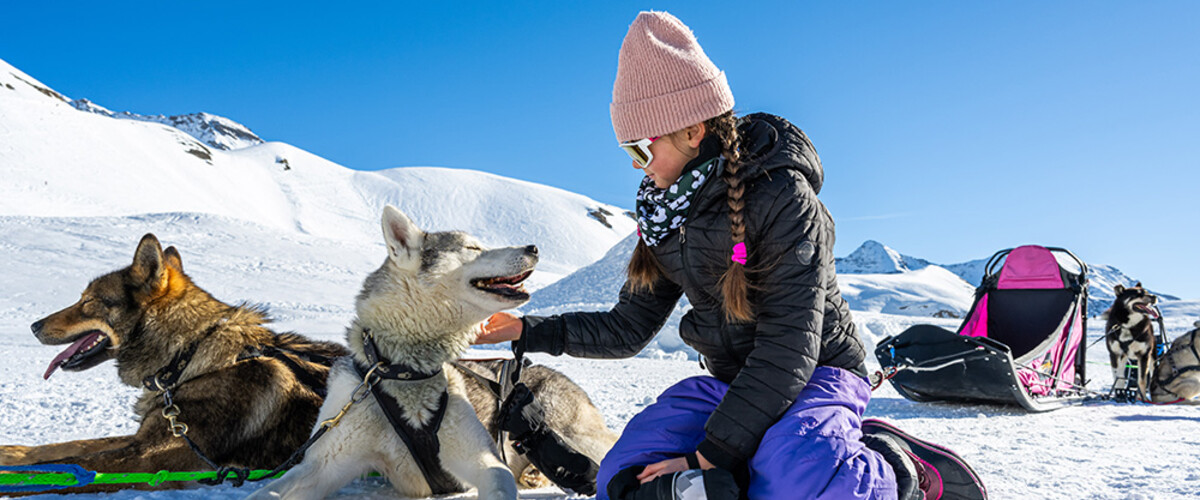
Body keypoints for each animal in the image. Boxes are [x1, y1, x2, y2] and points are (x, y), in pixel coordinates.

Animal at [0, 232, 348, 491]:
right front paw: (12, 452)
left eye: (89, 302)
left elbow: (68, 466)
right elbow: (65, 448)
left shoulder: (147, 458)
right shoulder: (144, 437)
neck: (188, 357)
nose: (34, 326)